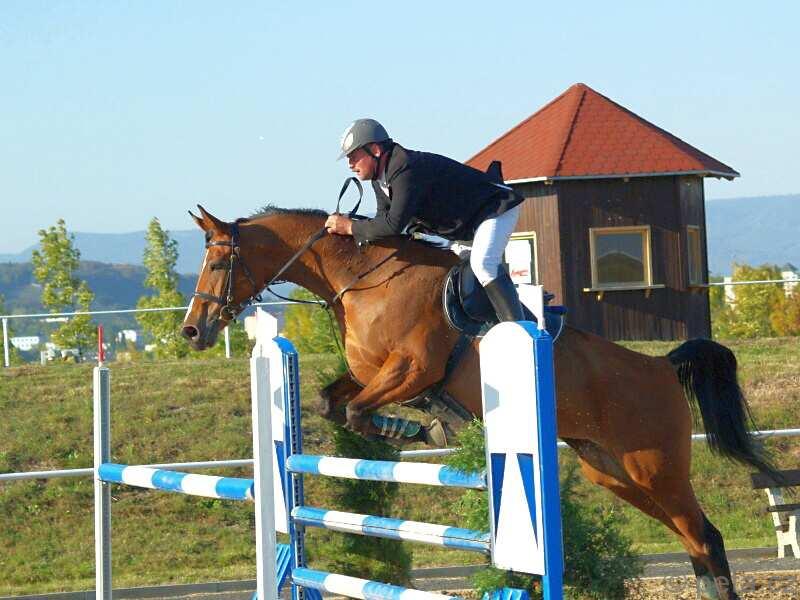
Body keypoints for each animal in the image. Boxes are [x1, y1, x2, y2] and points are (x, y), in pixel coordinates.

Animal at [181, 205, 777, 600]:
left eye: (218, 264)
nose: (192, 331)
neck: (364, 280)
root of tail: (660, 366)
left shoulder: (411, 369)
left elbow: (357, 411)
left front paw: (421, 430)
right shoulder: (372, 374)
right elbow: (335, 403)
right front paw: (422, 427)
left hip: (656, 469)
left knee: (706, 537)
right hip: (613, 471)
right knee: (694, 541)